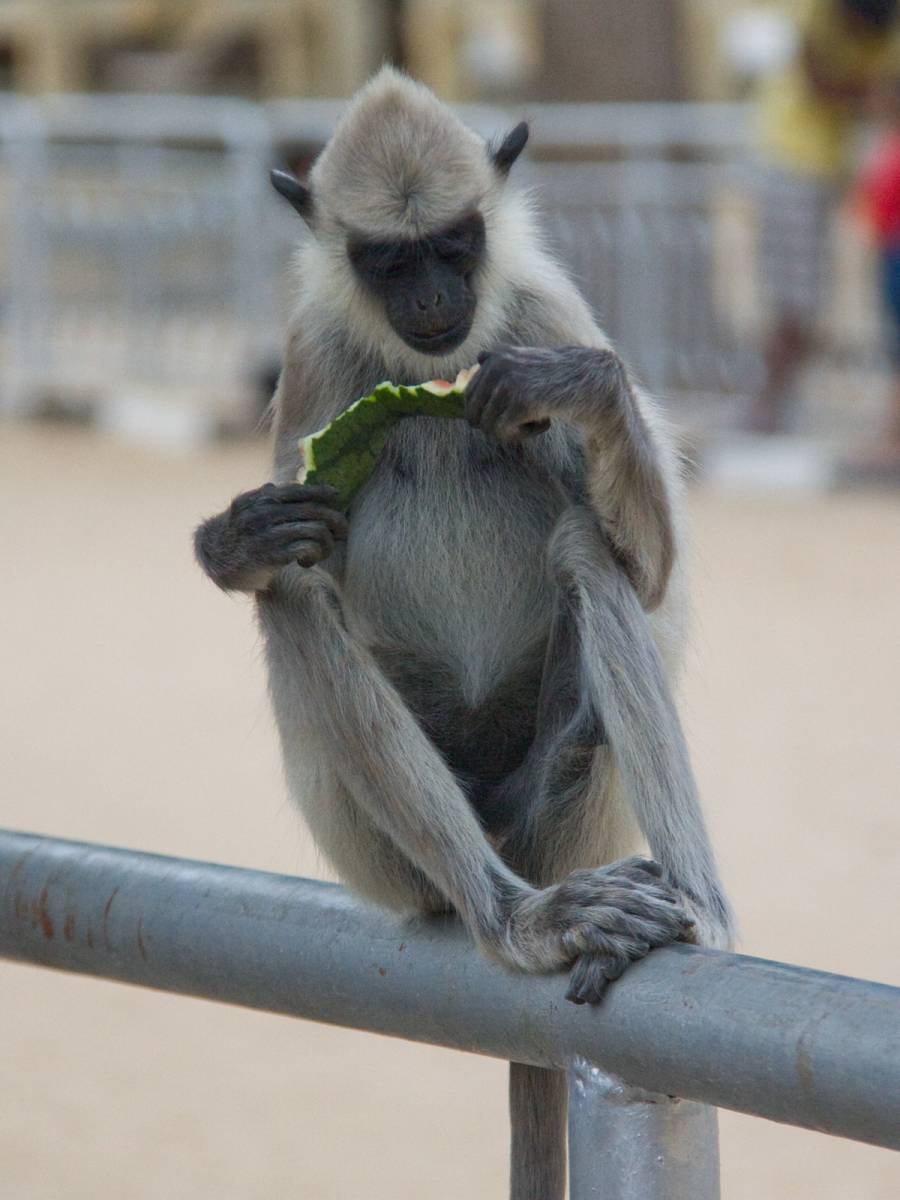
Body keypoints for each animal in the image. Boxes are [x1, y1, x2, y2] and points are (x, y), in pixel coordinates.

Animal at [194, 68, 734, 1200]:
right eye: (389, 260)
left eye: (455, 245)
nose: (433, 302)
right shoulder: (313, 353)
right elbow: (284, 552)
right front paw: (236, 538)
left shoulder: (539, 314)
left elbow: (650, 574)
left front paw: (585, 391)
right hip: (386, 857)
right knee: (294, 596)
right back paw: (512, 921)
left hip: (572, 816)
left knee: (587, 544)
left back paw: (696, 909)